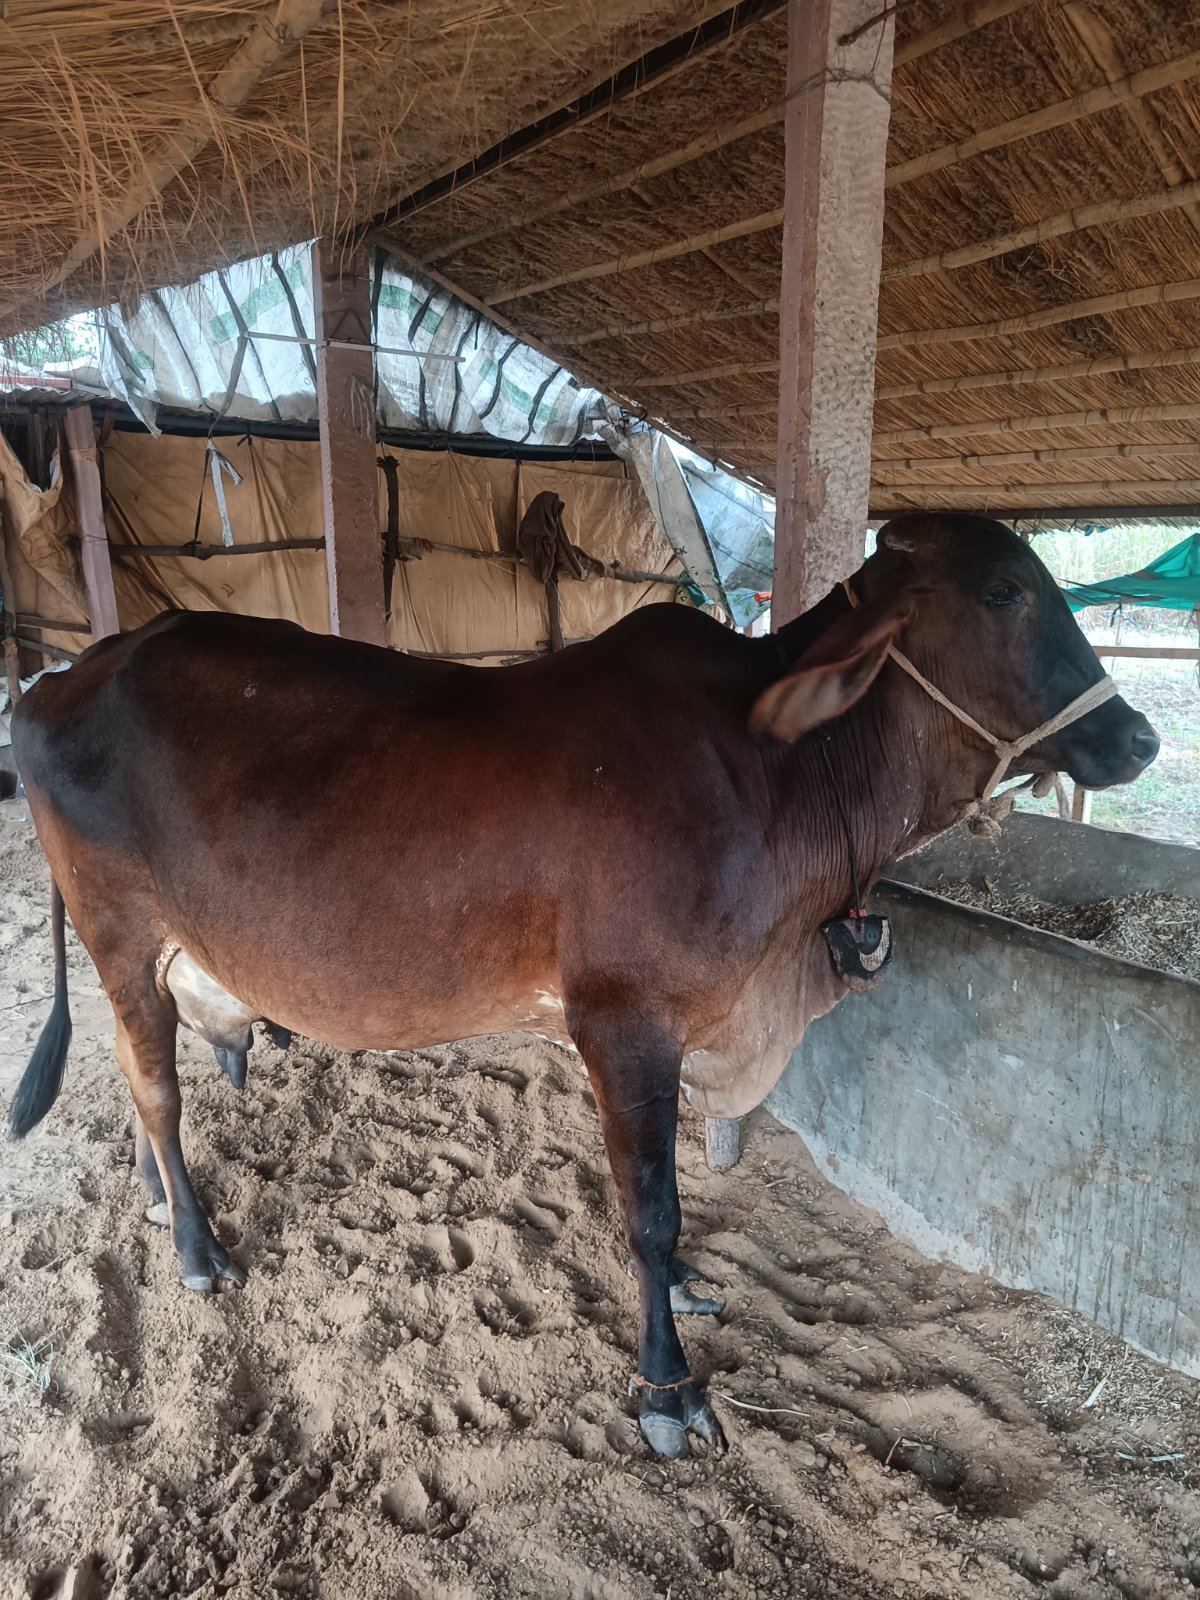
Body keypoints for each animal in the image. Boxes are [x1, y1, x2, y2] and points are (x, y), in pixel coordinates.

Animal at [8, 512, 1158, 1459]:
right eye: (1005, 592)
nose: (1141, 737)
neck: (778, 771)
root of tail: (63, 675)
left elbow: (672, 1193)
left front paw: (686, 1290)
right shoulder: (624, 1021)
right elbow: (651, 1208)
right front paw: (668, 1389)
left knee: (136, 1075)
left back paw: (160, 1196)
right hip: (119, 934)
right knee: (157, 1085)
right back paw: (198, 1246)